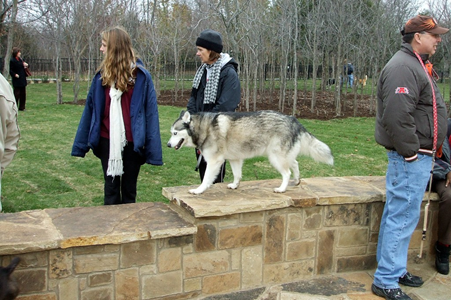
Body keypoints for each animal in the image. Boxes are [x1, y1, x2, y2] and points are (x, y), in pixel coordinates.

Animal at [168, 110, 334, 195]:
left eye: (175, 133)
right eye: (171, 133)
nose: (168, 144)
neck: (203, 128)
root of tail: (294, 120)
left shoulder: (214, 161)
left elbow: (206, 179)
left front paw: (199, 190)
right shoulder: (235, 159)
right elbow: (237, 175)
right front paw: (235, 185)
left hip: (275, 157)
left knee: (286, 172)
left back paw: (282, 188)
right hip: (282, 155)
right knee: (295, 163)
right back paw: (297, 180)